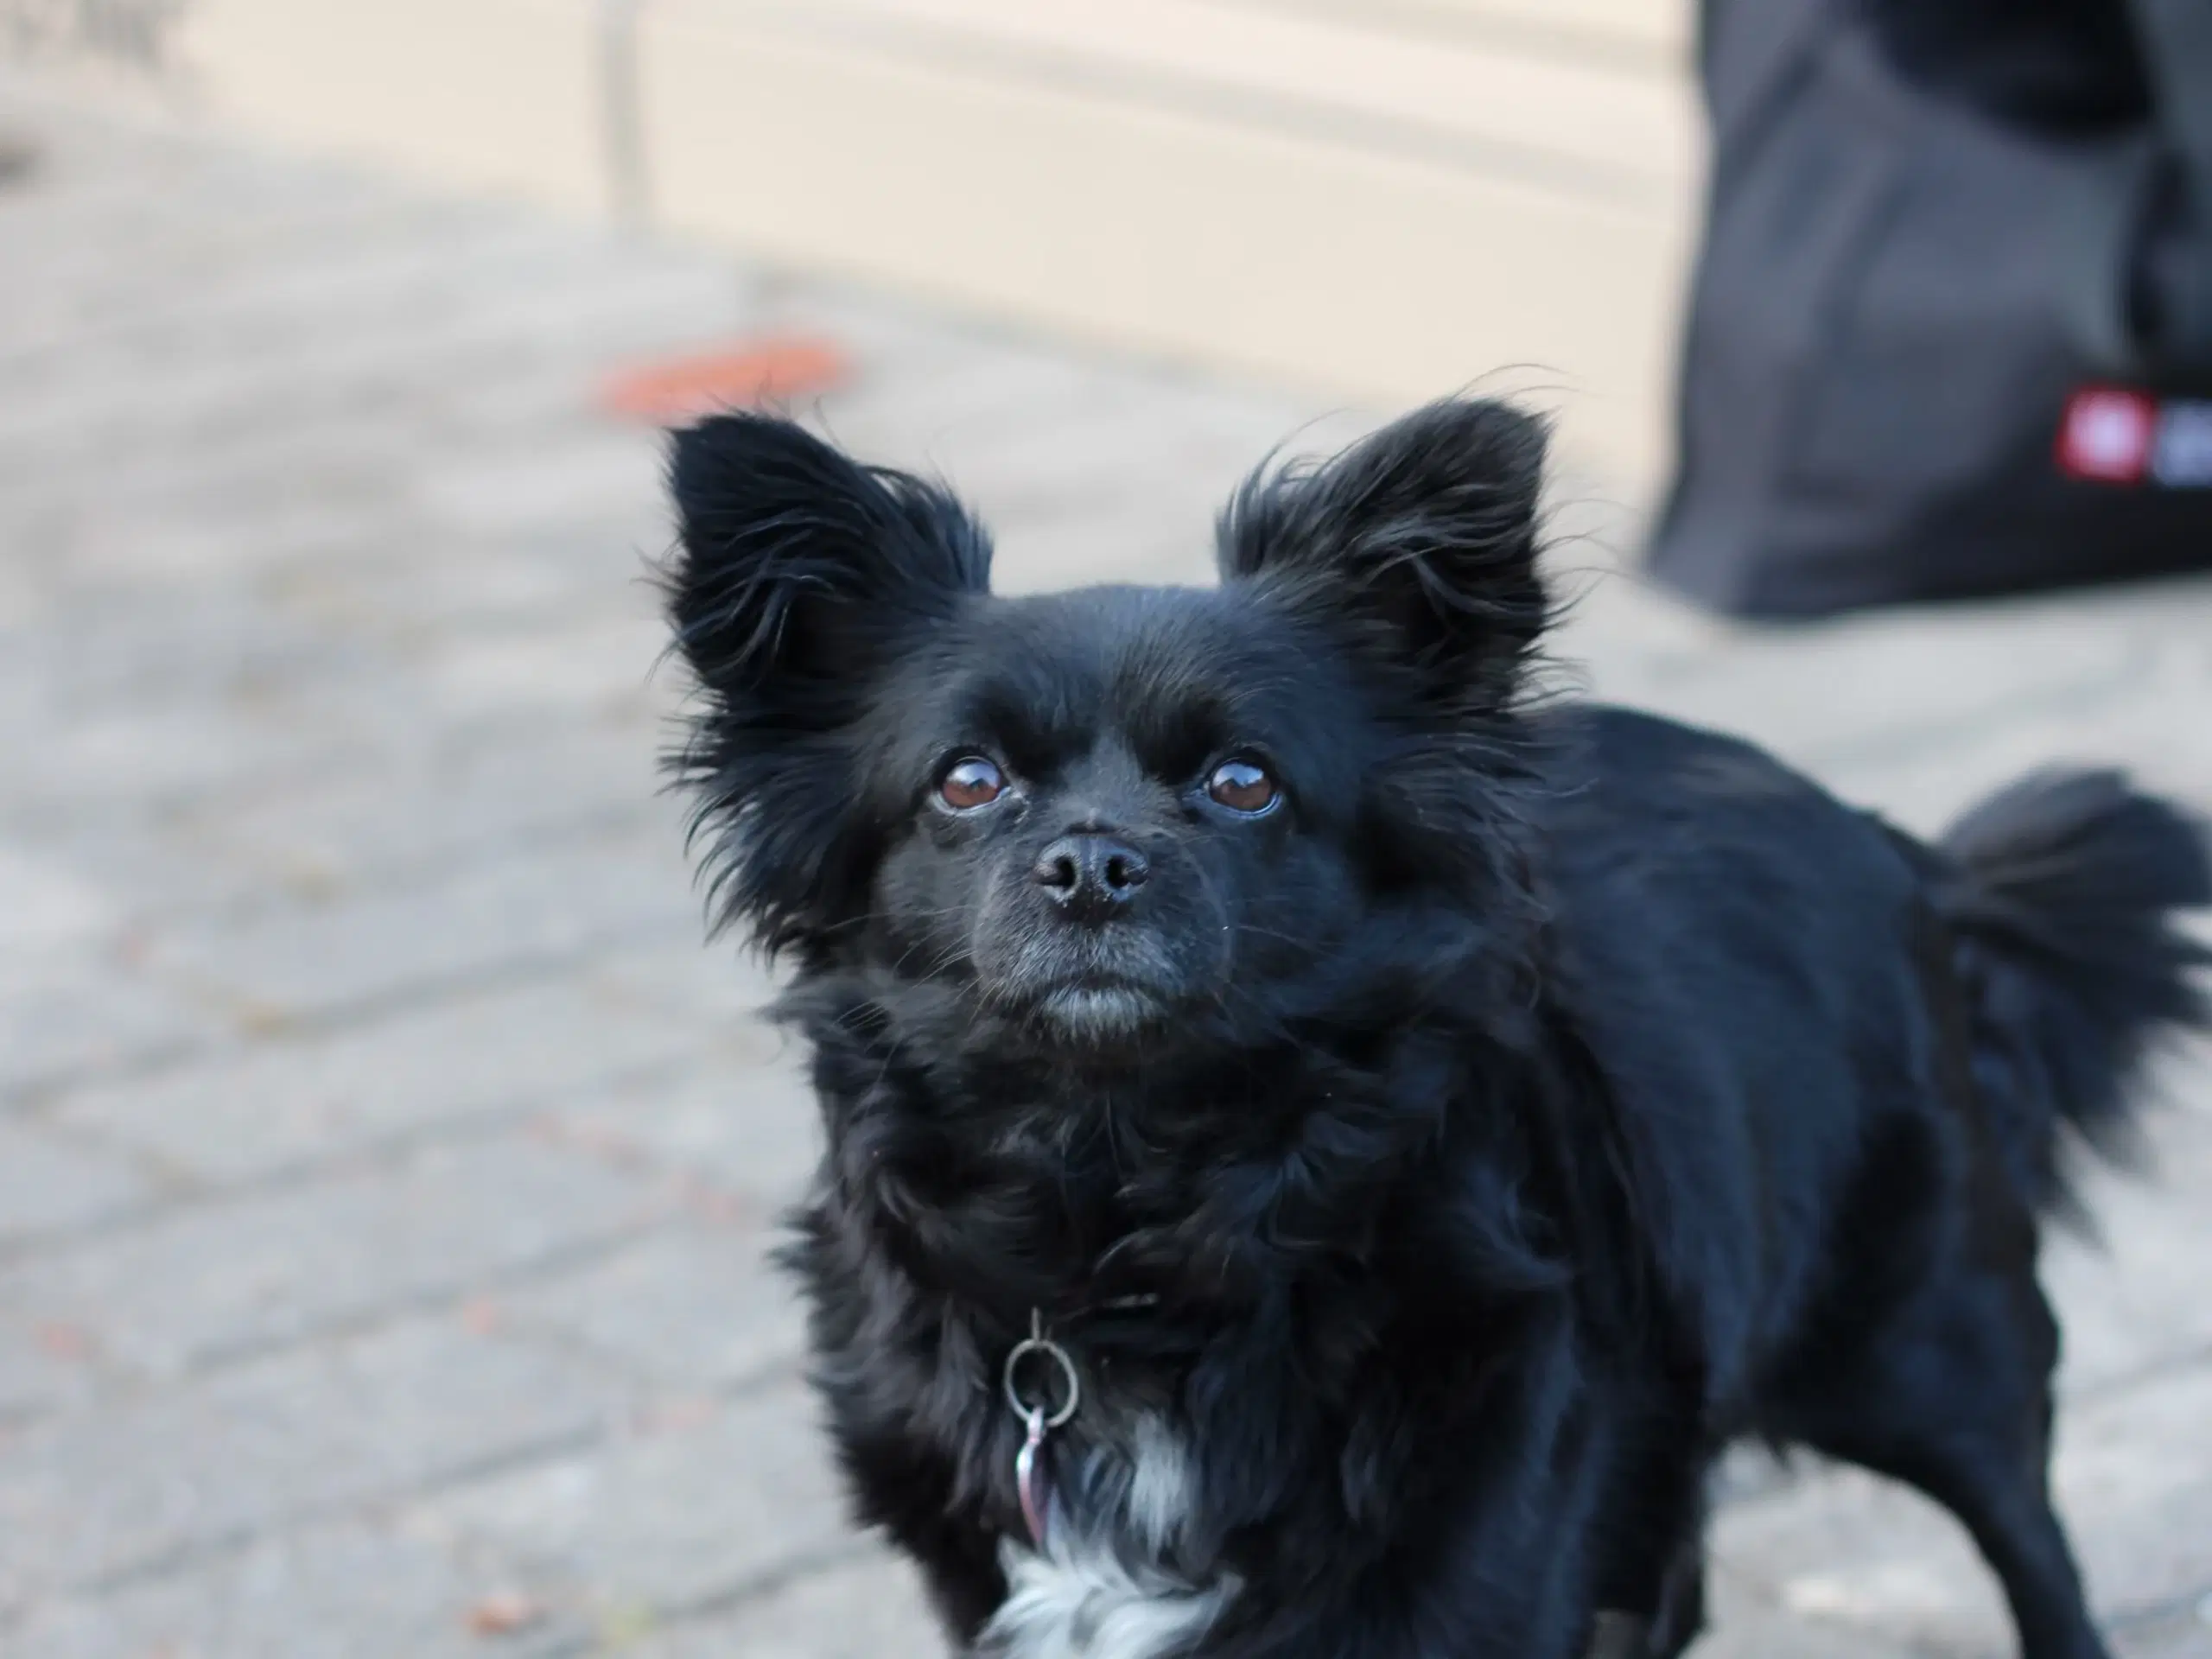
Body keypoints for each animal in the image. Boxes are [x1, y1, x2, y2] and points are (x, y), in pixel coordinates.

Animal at [658, 396, 2212, 1654]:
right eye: (968, 783)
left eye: (1241, 782)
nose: (1092, 864)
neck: (1133, 1211)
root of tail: (1906, 851)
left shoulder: (1479, 1536)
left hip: (1927, 1345)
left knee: (2031, 1542)